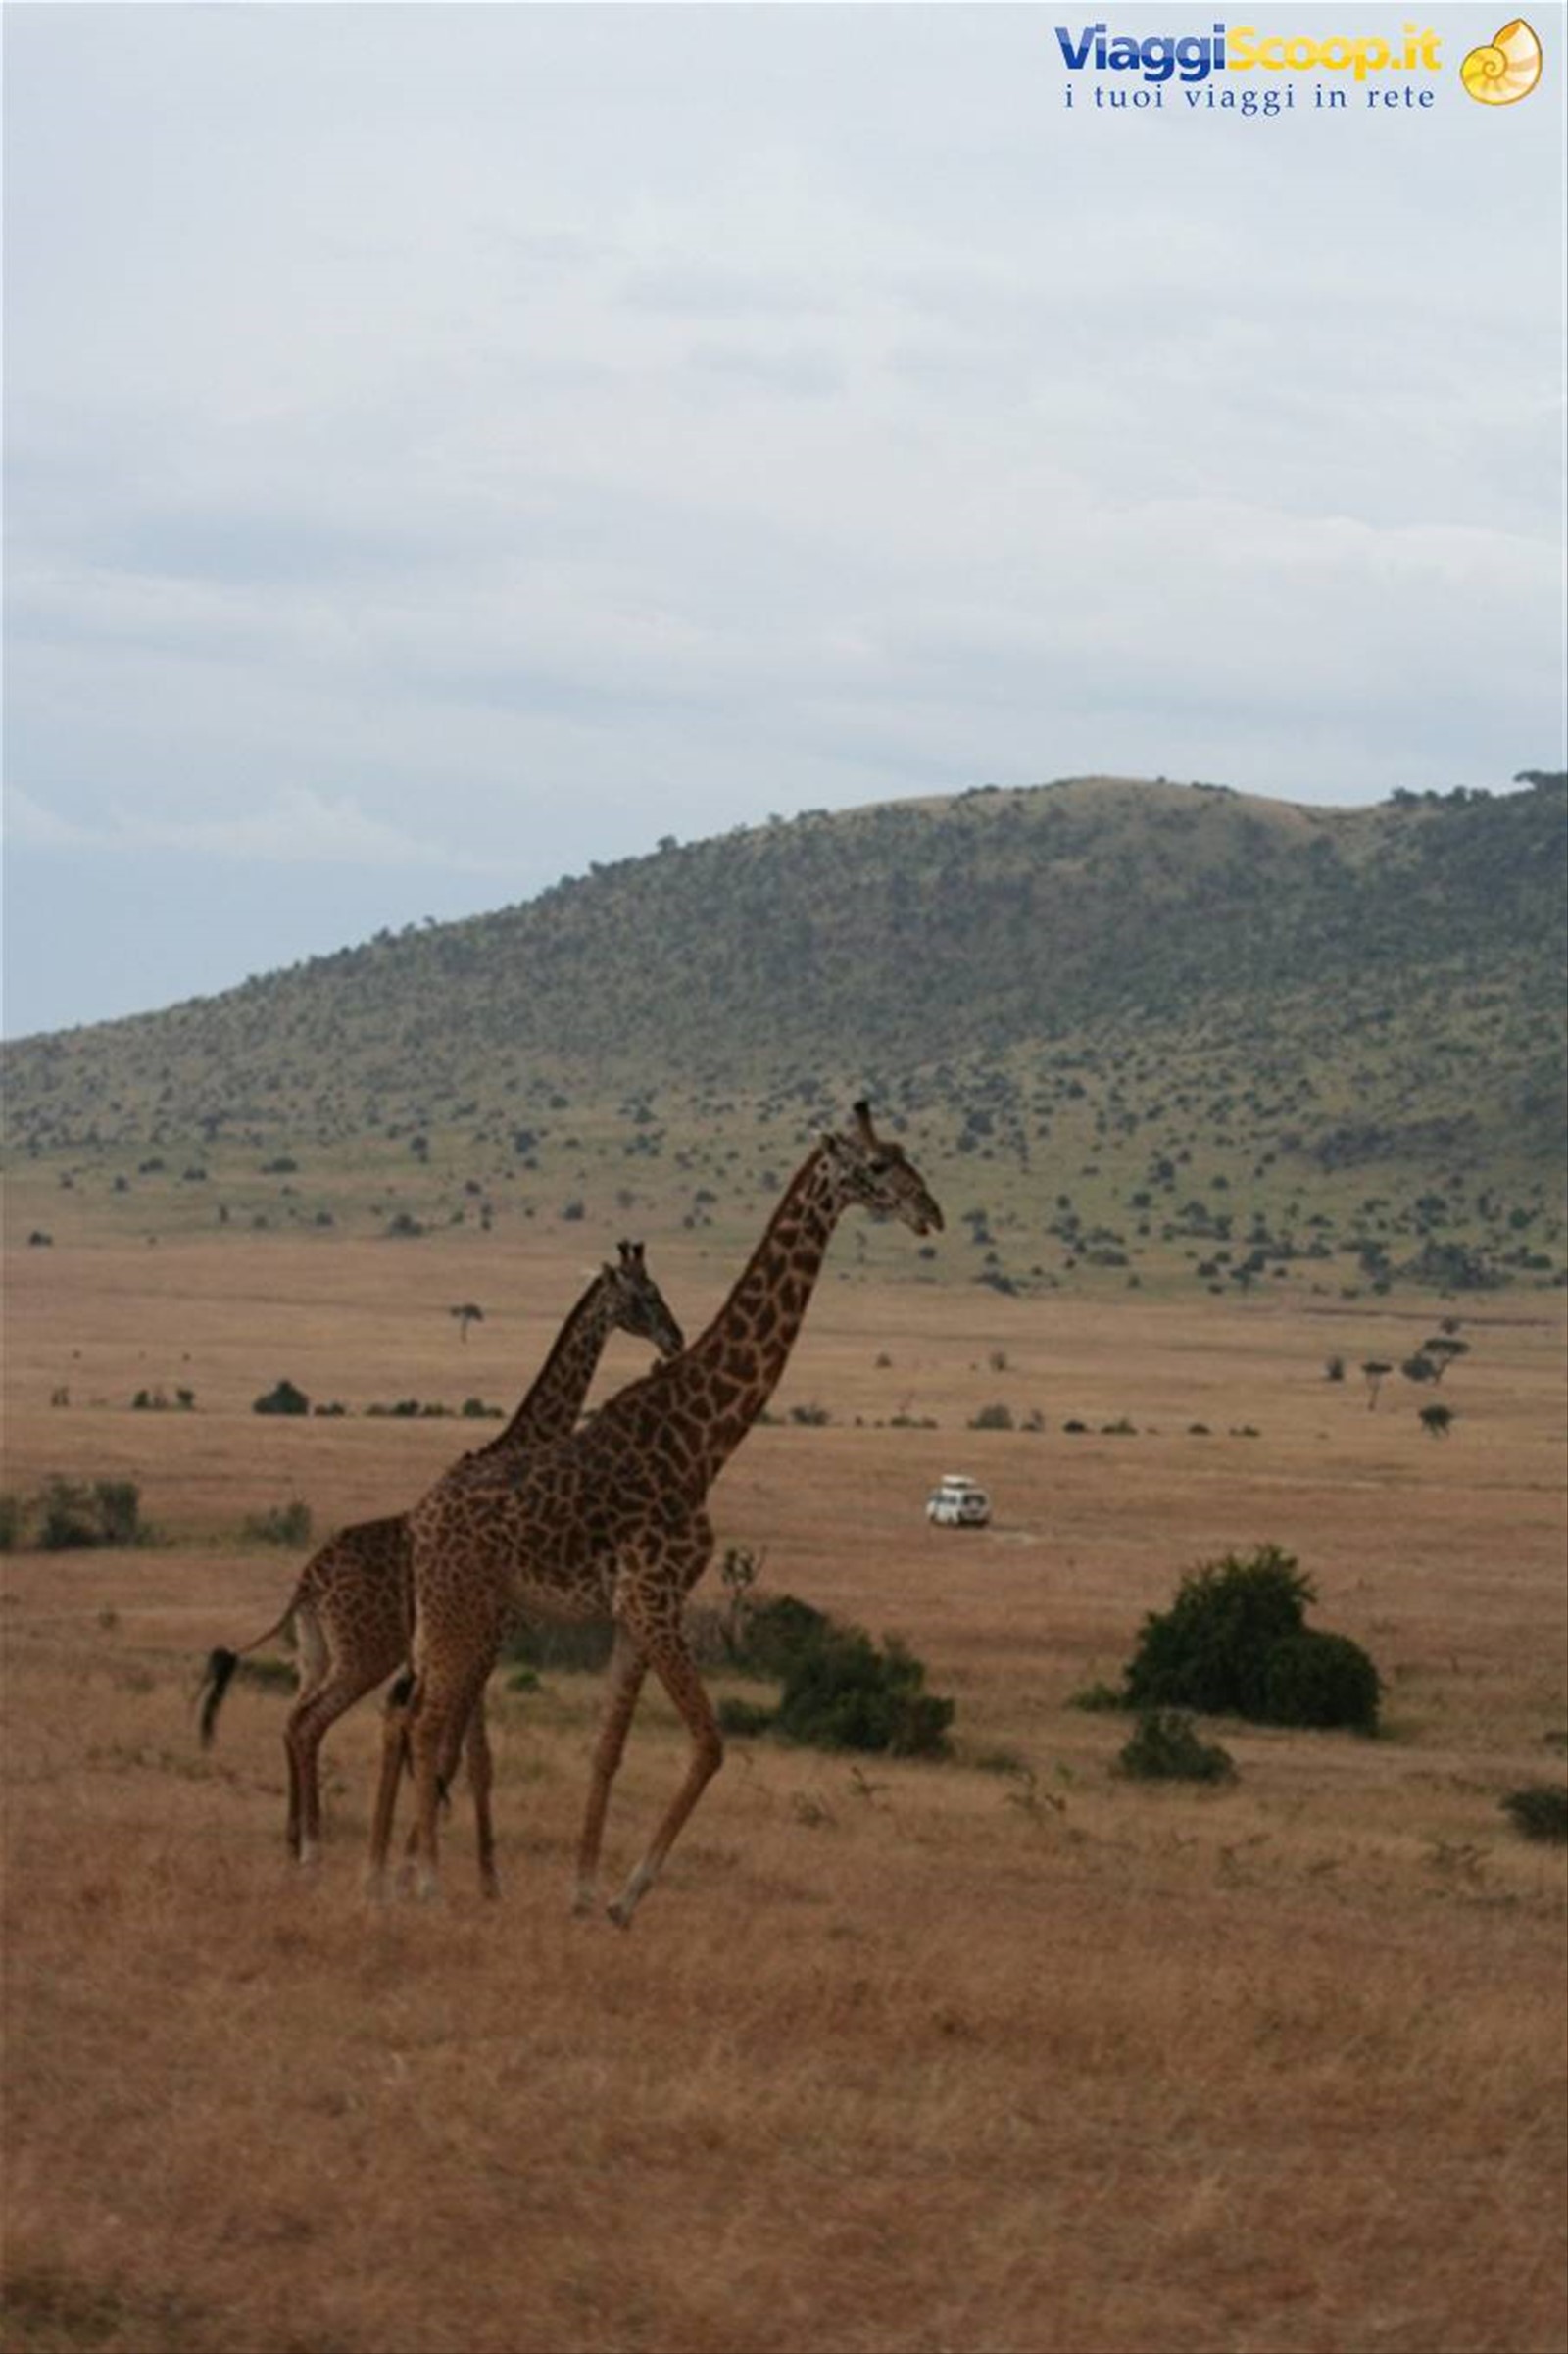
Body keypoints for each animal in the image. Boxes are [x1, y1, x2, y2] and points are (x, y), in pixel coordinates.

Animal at [197, 1242, 684, 1894]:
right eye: (646, 1294)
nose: (676, 1338)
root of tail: (306, 1584)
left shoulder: (480, 1643)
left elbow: (473, 1759)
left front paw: (475, 1874)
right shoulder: (491, 1638)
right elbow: (465, 1756)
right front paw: (459, 1874)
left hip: (317, 1652)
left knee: (293, 1719)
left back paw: (295, 1842)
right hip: (365, 1653)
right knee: (310, 1724)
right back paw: (314, 1852)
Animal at [373, 1102, 943, 1926]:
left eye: (902, 1152)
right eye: (874, 1167)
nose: (931, 1212)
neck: (704, 1439)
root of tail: (419, 1523)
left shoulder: (634, 1607)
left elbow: (608, 1746)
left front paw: (583, 1891)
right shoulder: (654, 1594)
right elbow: (709, 1742)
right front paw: (625, 1895)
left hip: (452, 1620)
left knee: (416, 1718)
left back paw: (398, 1876)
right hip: (463, 1615)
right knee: (424, 1724)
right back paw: (426, 1885)